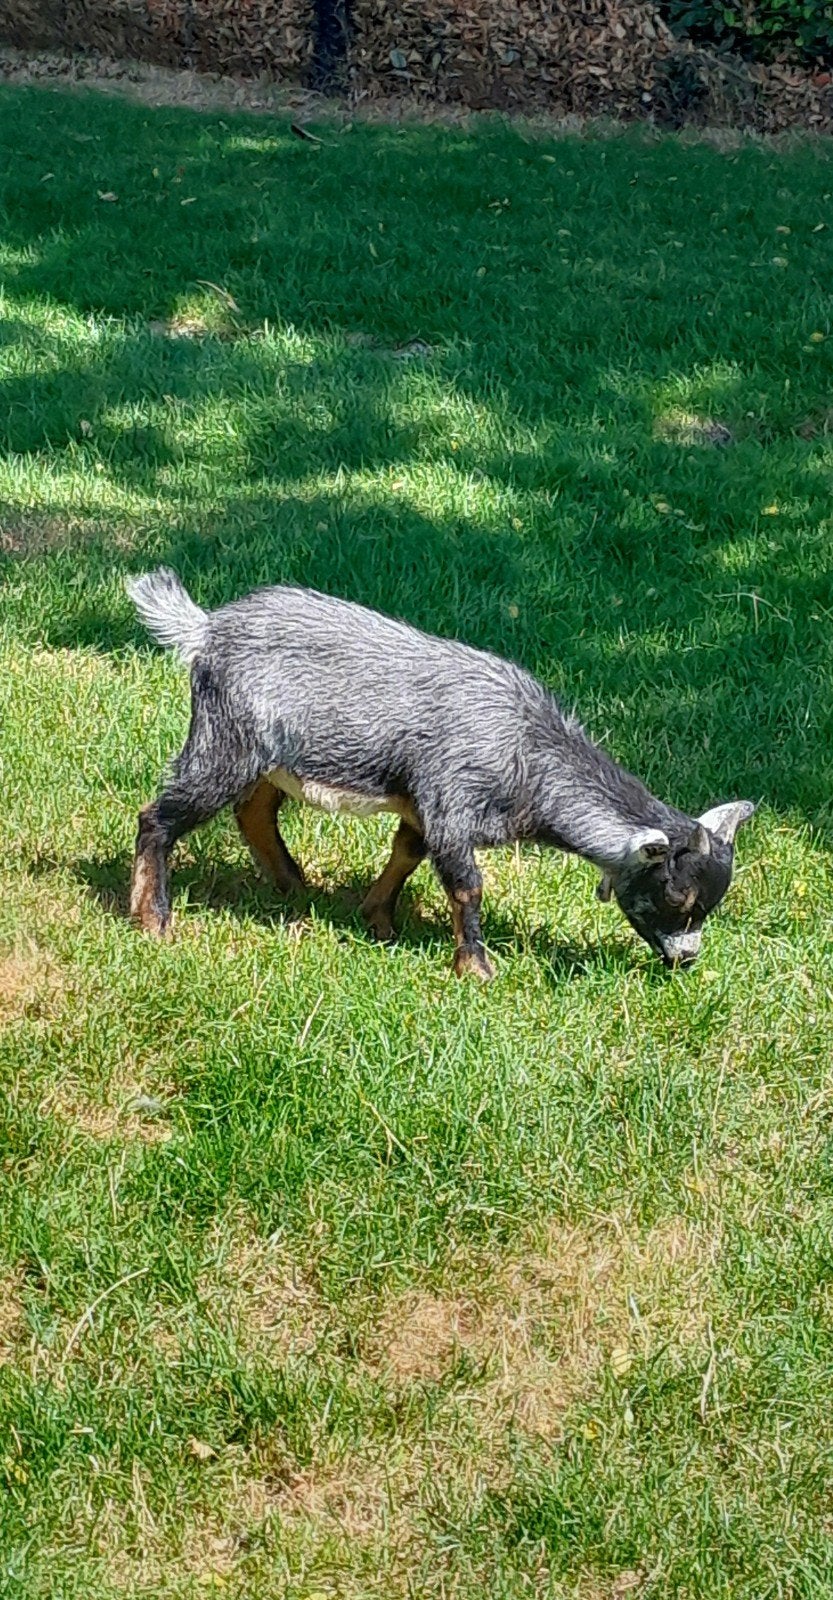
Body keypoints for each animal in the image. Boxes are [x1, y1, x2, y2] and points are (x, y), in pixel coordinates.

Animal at [126, 569, 754, 974]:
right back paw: (153, 921)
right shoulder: (452, 803)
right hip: (226, 742)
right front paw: (475, 968)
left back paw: (293, 888)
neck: (527, 753)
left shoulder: (420, 807)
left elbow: (406, 852)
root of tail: (205, 630)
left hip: (264, 759)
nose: (686, 960)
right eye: (676, 897)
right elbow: (466, 885)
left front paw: (379, 921)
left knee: (254, 811)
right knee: (157, 816)